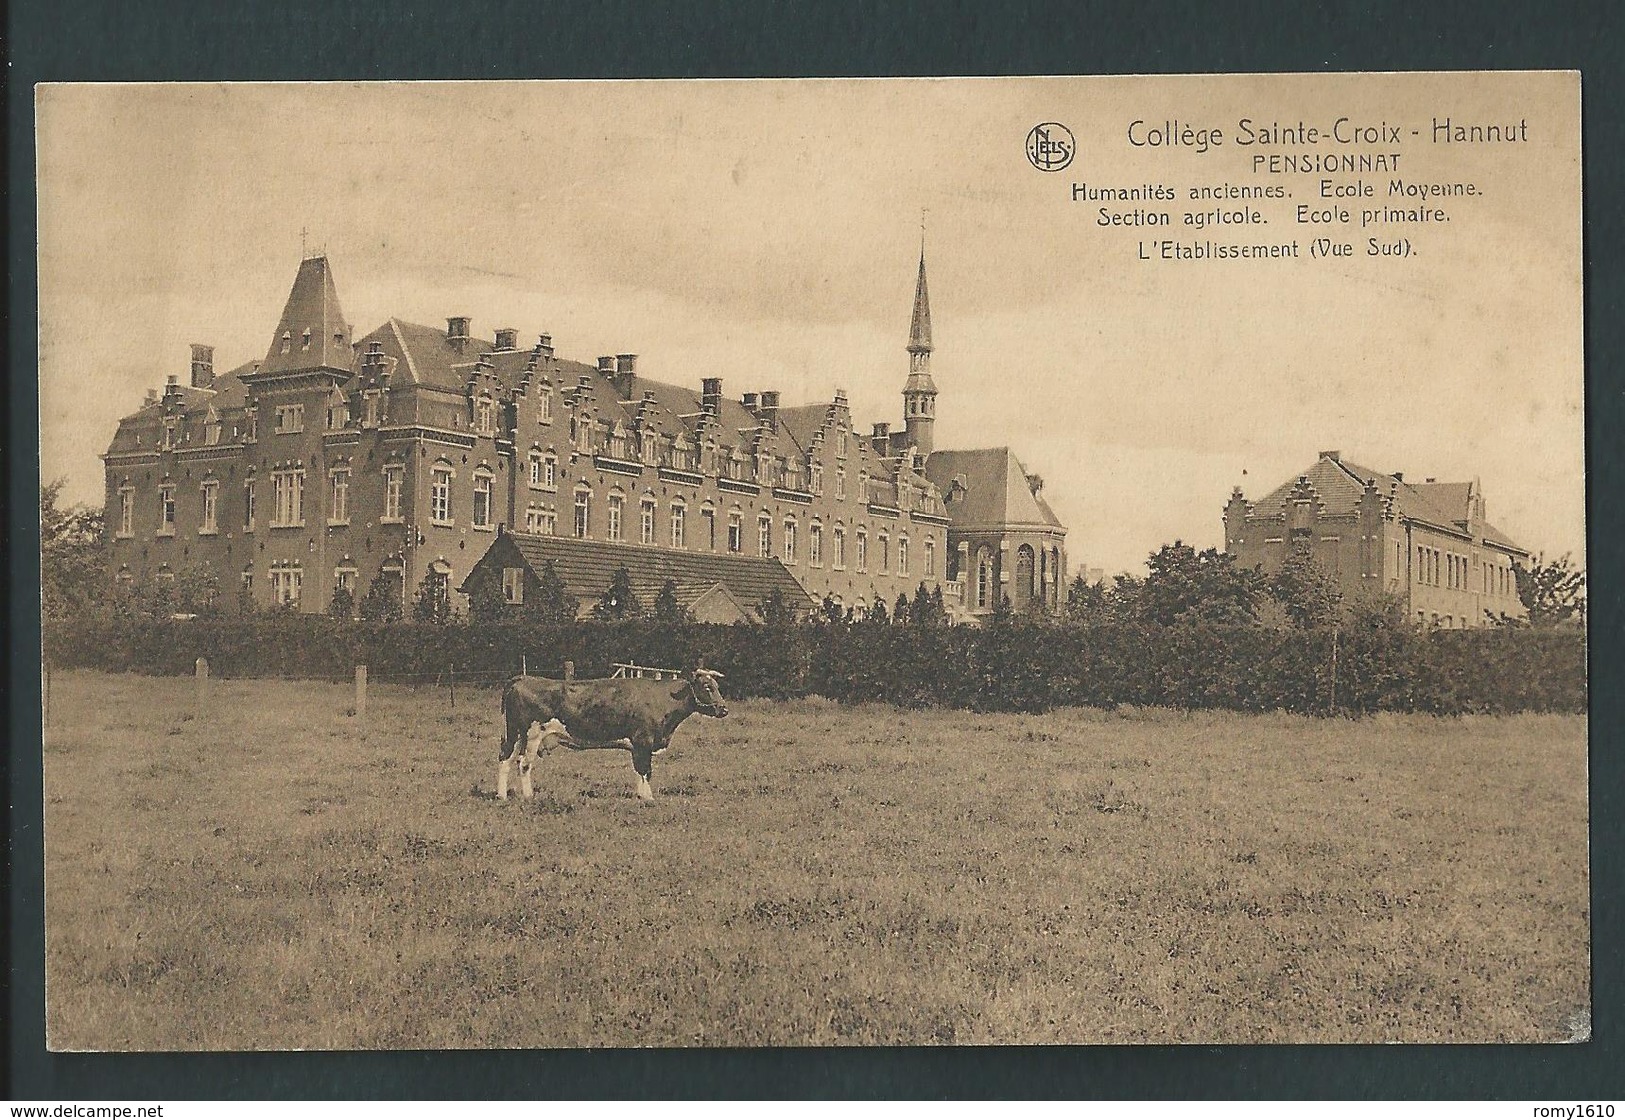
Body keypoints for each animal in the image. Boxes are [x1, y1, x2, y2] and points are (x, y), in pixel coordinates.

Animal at [490, 669, 728, 799]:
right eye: (707, 686)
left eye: (717, 685)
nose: (724, 709)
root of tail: (523, 678)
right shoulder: (643, 741)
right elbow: (645, 771)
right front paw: (648, 798)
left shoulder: (639, 746)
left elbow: (639, 771)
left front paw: (641, 795)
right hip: (530, 734)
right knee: (523, 764)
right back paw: (528, 796)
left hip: (515, 735)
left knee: (506, 759)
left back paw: (502, 795)